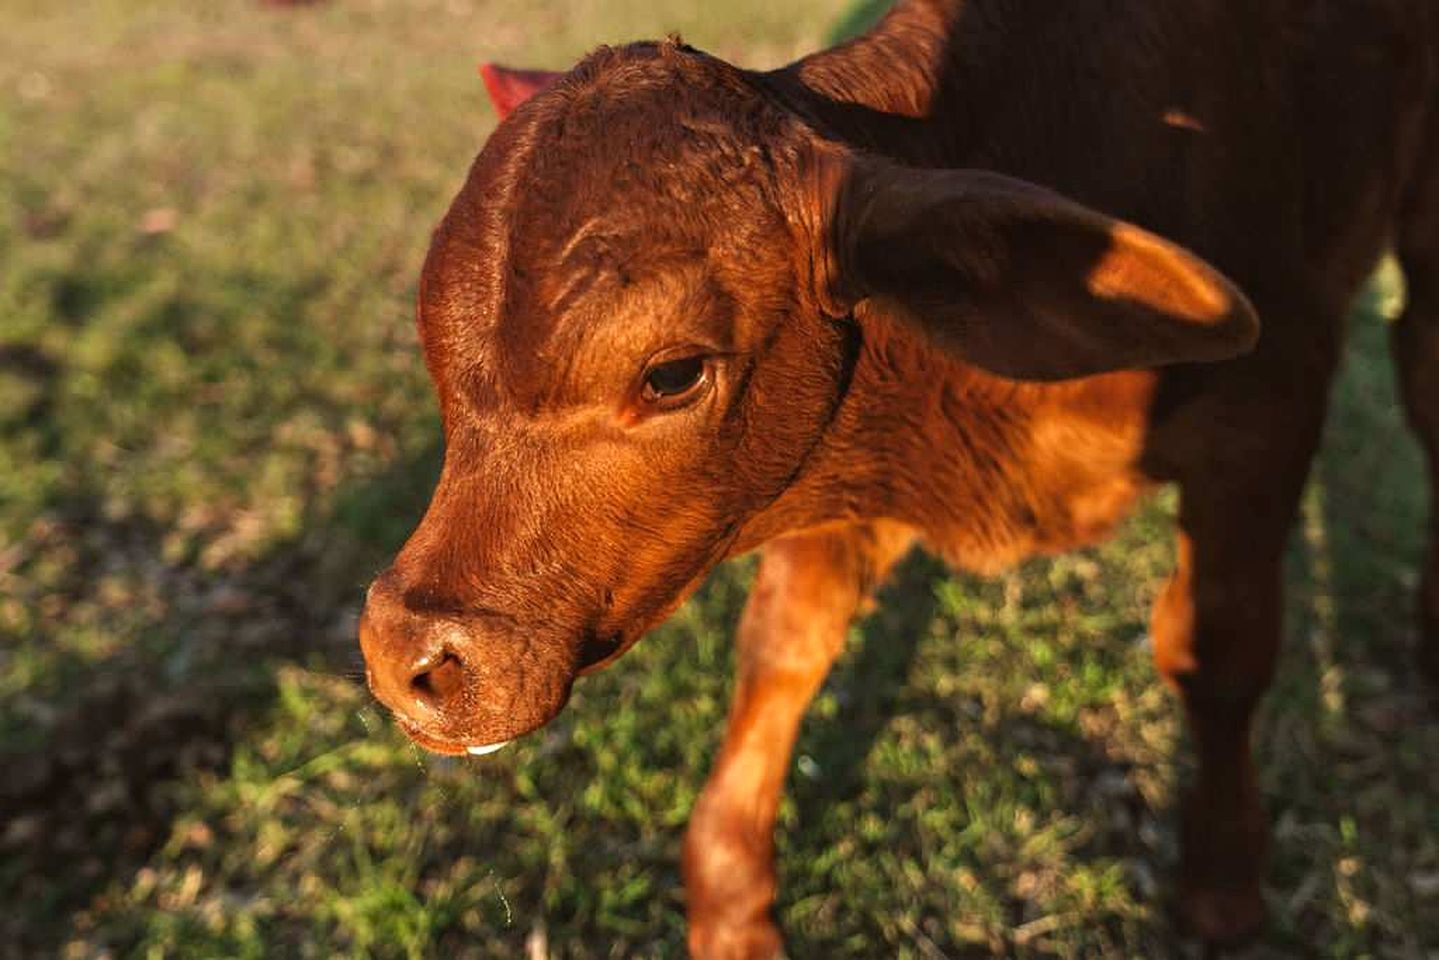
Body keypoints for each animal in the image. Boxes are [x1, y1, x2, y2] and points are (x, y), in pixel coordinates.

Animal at [357, 1, 1439, 953]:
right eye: (434, 348)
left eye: (670, 374)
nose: (405, 655)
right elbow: (782, 649)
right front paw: (731, 908)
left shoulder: (1268, 411)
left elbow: (1216, 652)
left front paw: (1220, 881)